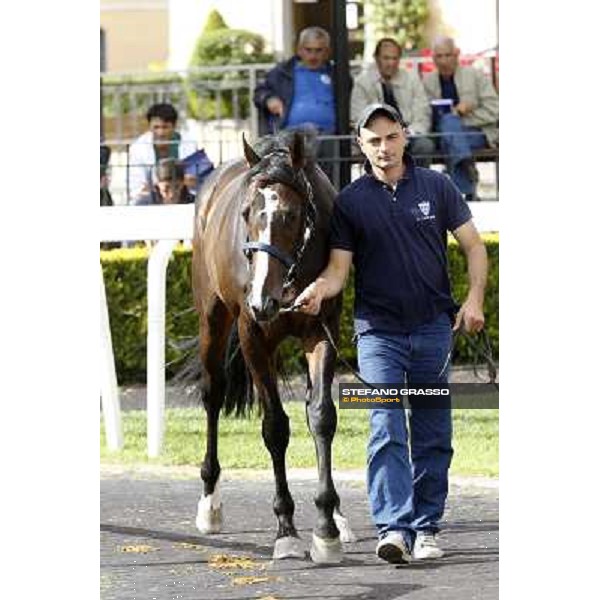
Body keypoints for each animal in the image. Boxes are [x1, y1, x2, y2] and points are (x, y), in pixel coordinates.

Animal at [190, 130, 354, 564]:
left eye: (291, 216)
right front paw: (286, 529)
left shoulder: (321, 328)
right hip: (213, 318)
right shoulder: (253, 335)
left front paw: (327, 525)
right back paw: (209, 502)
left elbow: (321, 416)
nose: (262, 300)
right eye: (248, 213)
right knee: (213, 392)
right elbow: (275, 426)